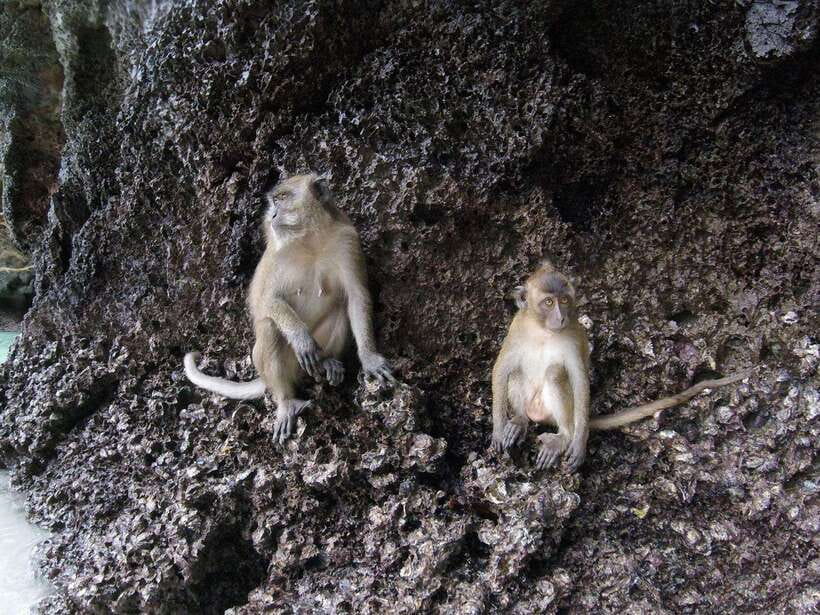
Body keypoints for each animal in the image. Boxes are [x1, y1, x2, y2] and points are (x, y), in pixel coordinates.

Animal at [185, 173, 395, 444]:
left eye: (282, 199)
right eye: (274, 201)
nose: (272, 215)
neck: (311, 240)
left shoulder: (348, 241)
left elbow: (357, 297)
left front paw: (369, 358)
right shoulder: (277, 255)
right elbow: (266, 300)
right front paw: (300, 337)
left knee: (339, 312)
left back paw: (327, 362)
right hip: (280, 363)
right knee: (270, 327)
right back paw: (286, 403)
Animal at [491, 261, 753, 472]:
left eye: (564, 300)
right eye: (548, 302)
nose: (561, 316)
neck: (543, 330)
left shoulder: (573, 335)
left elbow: (579, 380)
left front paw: (578, 444)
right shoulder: (517, 328)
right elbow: (502, 369)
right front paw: (498, 430)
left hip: (562, 411)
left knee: (556, 374)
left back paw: (564, 436)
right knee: (517, 373)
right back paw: (521, 421)